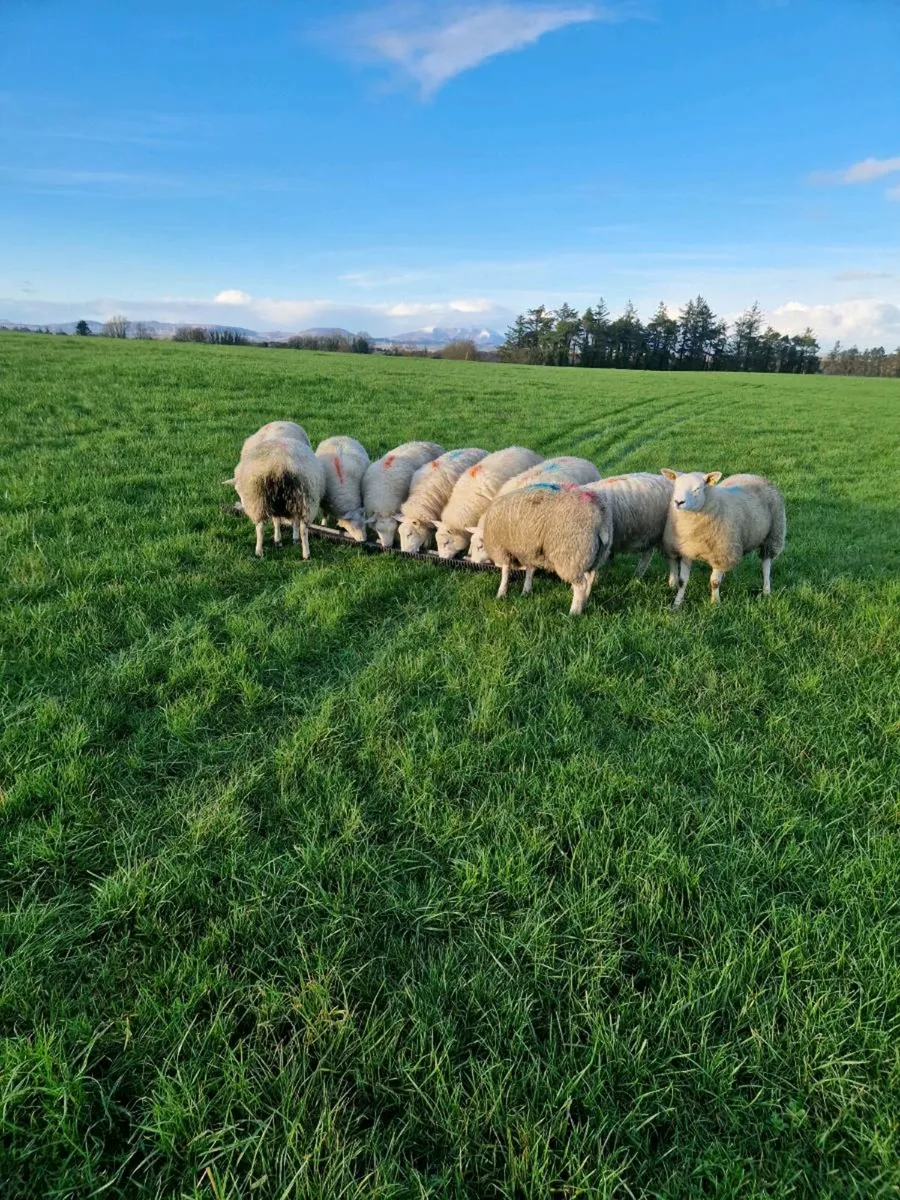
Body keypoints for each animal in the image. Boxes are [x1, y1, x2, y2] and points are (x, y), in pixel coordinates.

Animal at [481, 482, 614, 616]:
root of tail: (600, 519)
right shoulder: (530, 550)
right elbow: (530, 571)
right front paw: (526, 591)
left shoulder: (502, 548)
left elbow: (505, 571)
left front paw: (501, 593)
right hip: (592, 555)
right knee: (590, 578)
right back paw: (584, 602)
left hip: (571, 555)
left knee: (581, 586)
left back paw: (574, 612)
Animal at [661, 470, 786, 606]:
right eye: (676, 486)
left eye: (697, 489)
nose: (678, 502)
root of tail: (754, 475)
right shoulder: (687, 551)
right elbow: (682, 581)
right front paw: (677, 603)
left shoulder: (721, 553)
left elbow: (714, 582)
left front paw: (715, 603)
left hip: (774, 534)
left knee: (766, 565)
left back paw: (766, 590)